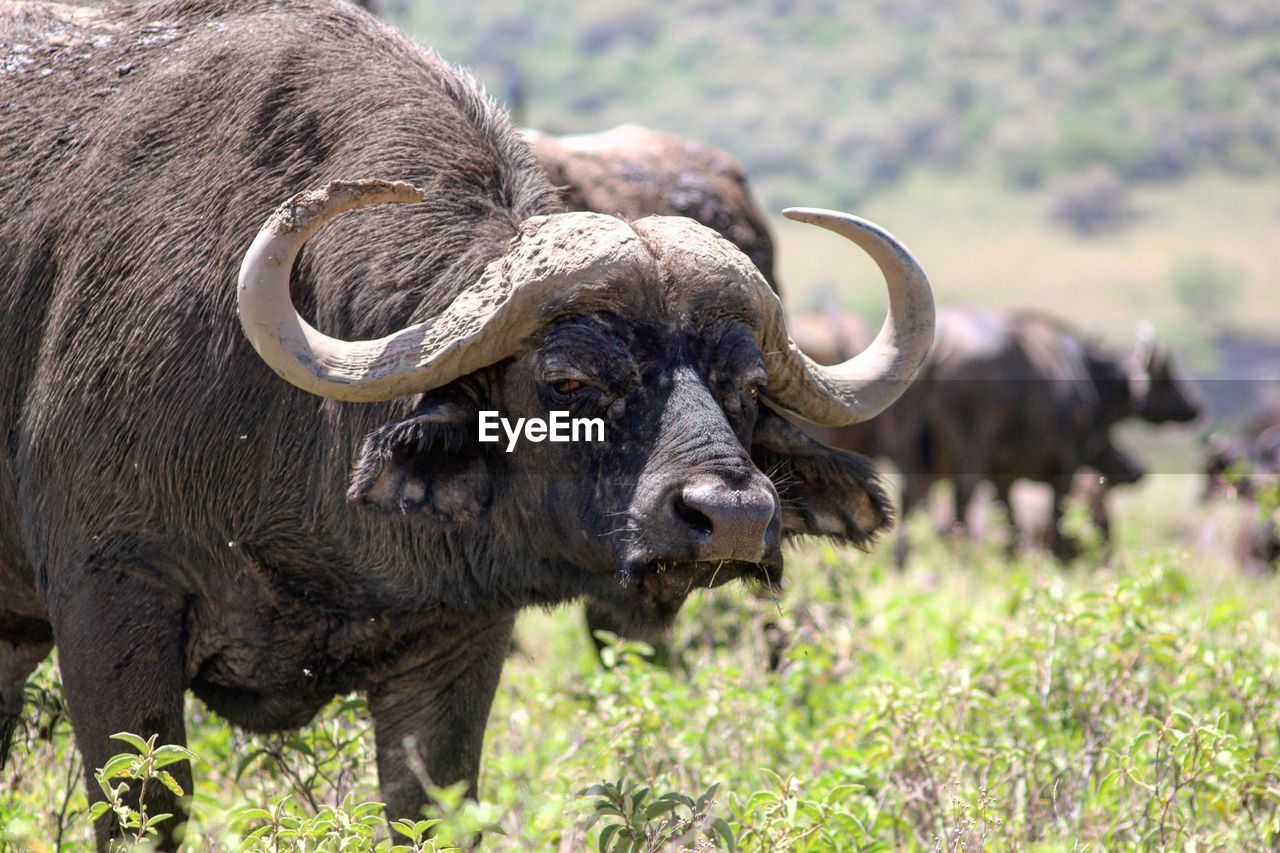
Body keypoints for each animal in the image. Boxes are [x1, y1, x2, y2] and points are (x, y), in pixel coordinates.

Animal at [0, 0, 931, 845]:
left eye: (745, 384)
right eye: (568, 379)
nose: (733, 516)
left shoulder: (460, 639)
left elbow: (431, 808)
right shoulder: (113, 601)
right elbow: (142, 804)